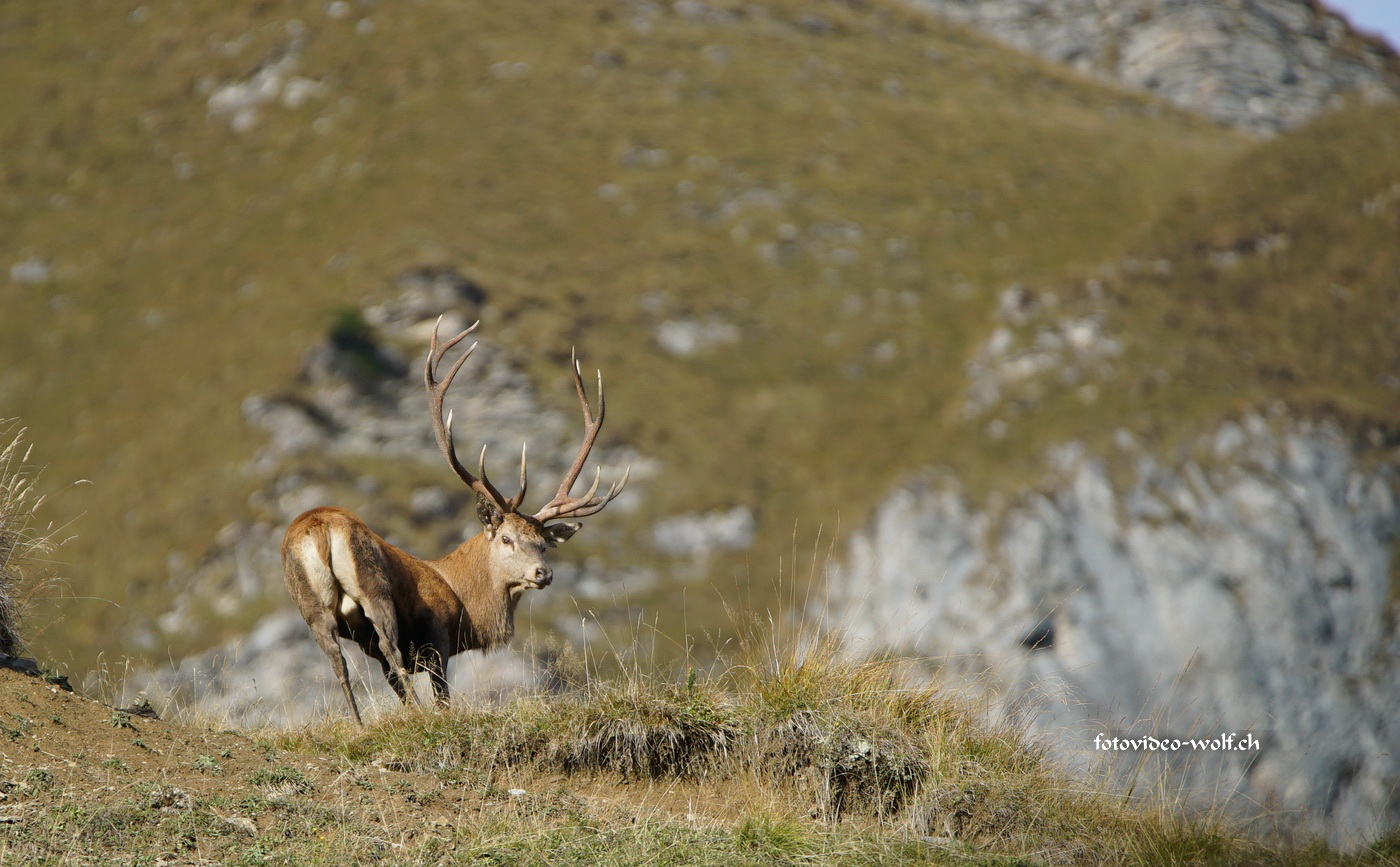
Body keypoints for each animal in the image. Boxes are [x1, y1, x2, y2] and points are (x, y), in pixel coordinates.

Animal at [280, 319, 630, 728]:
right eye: (506, 539)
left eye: (543, 544)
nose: (543, 573)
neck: (464, 601)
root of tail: (320, 528)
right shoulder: (437, 633)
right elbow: (442, 694)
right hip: (373, 587)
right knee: (387, 645)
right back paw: (408, 715)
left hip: (311, 607)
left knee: (338, 661)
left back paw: (359, 725)